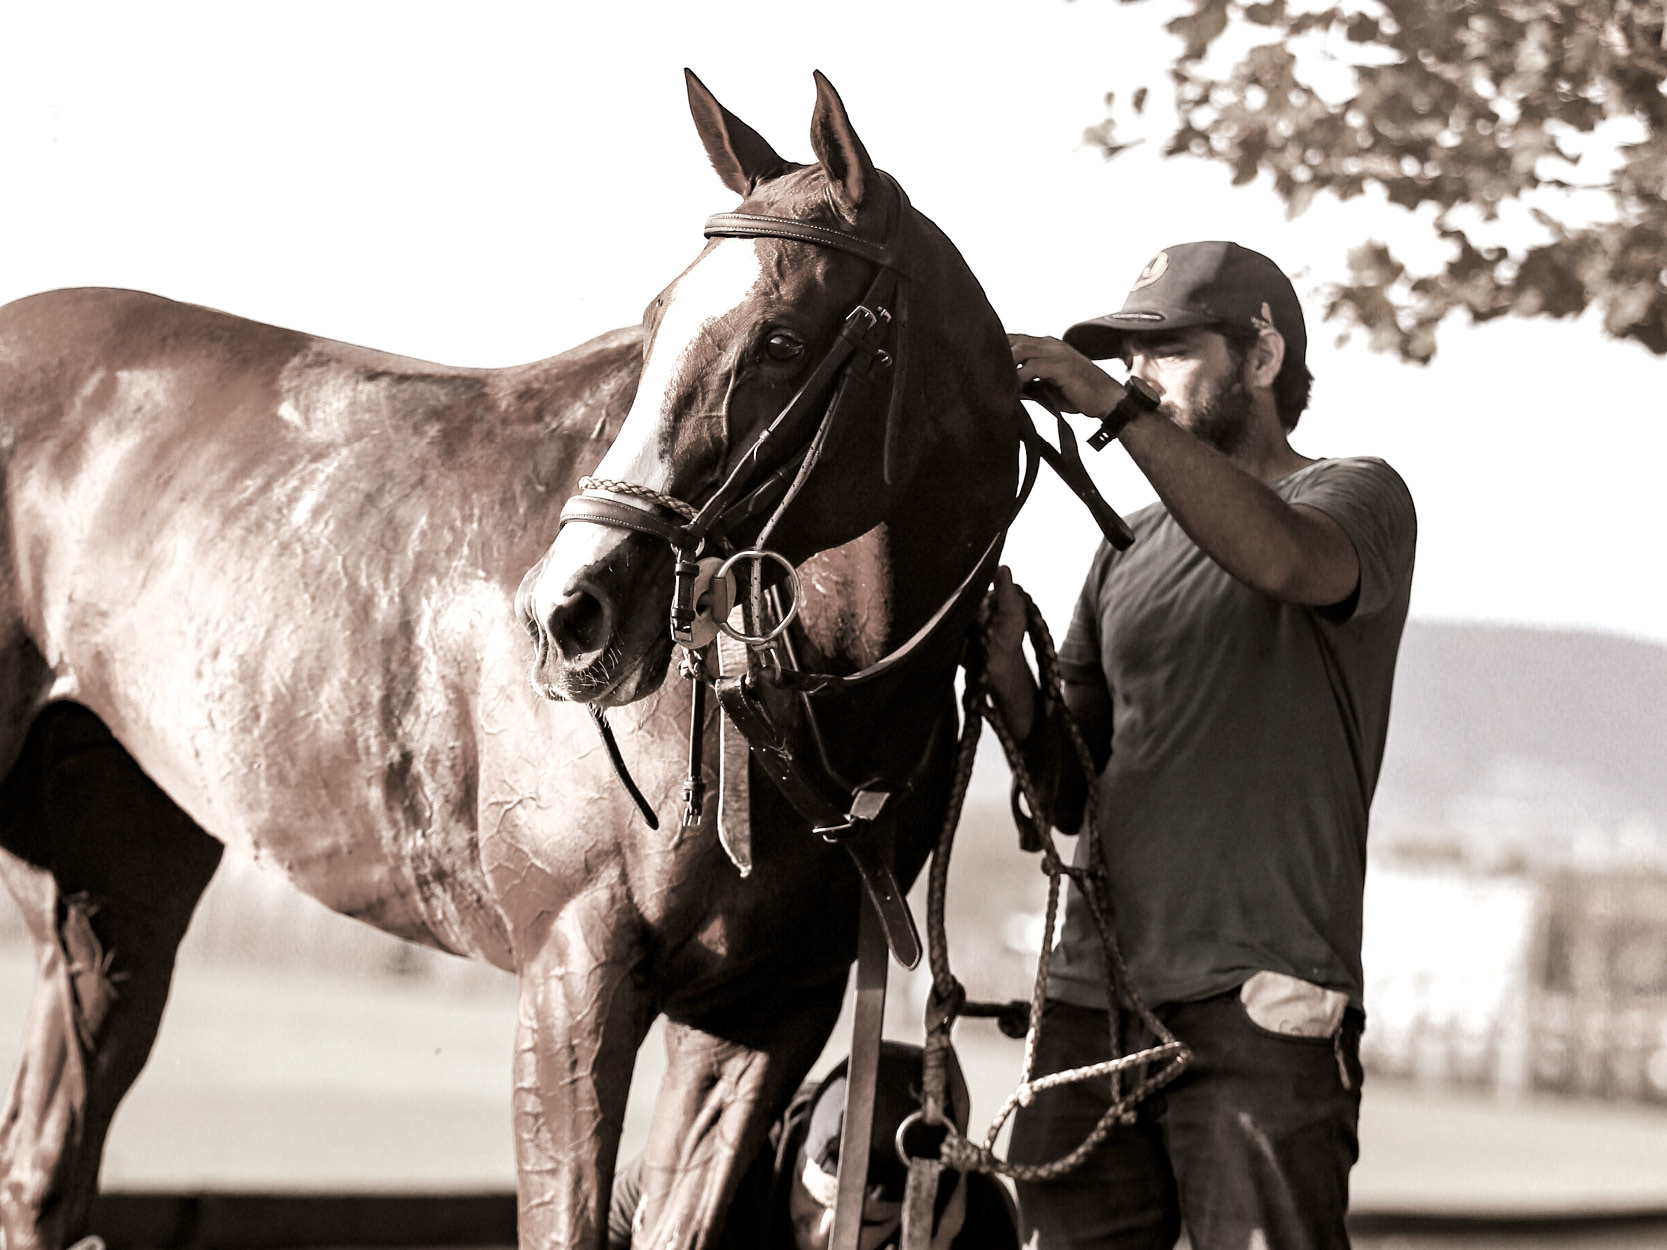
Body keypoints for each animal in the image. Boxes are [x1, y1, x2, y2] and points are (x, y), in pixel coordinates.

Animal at [0, 70, 1020, 1250]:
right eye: (655, 321)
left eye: (779, 338)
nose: (566, 612)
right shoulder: (573, 969)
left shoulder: (765, 1014)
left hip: (113, 890)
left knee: (46, 1164)